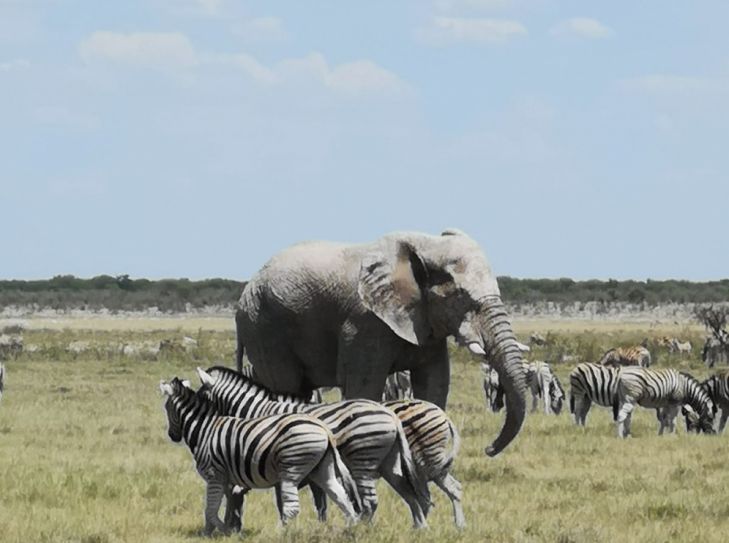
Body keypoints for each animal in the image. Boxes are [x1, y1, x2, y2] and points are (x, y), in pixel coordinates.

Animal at [162, 378, 362, 536]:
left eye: (166, 408)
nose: (172, 436)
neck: (205, 429)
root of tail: (324, 429)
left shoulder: (214, 475)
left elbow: (211, 510)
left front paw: (226, 531)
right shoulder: (226, 480)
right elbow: (224, 507)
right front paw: (212, 533)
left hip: (291, 469)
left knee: (292, 508)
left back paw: (278, 533)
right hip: (322, 469)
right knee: (341, 498)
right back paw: (350, 530)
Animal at [196, 368, 430, 528]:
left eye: (201, 397)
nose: (233, 530)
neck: (258, 412)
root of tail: (391, 415)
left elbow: (283, 503)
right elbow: (321, 502)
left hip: (363, 459)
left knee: (373, 500)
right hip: (389, 461)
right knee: (407, 490)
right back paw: (418, 528)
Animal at [236, 227, 528, 456]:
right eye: (460, 296)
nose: (488, 449)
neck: (426, 245)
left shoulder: (426, 321)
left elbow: (434, 384)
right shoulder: (364, 324)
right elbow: (365, 388)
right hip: (264, 327)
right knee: (286, 389)